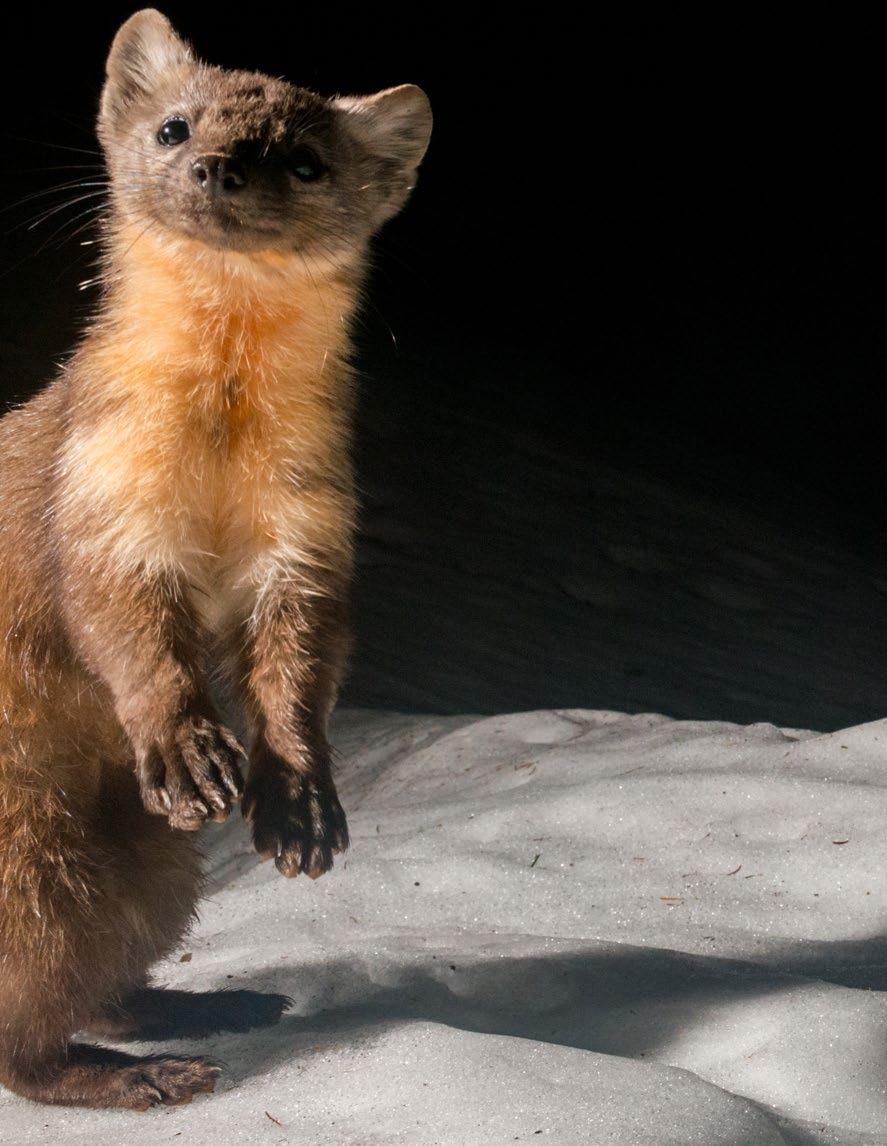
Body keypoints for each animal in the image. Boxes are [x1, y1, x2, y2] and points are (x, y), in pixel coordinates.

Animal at [0, 9, 431, 1110]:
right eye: (174, 125)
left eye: (306, 159)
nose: (220, 168)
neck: (218, 456)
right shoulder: (100, 497)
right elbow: (126, 632)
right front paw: (192, 753)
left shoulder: (311, 524)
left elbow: (300, 663)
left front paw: (301, 808)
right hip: (34, 858)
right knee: (24, 1042)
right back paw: (150, 1077)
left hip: (154, 866)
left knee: (106, 974)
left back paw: (212, 1010)